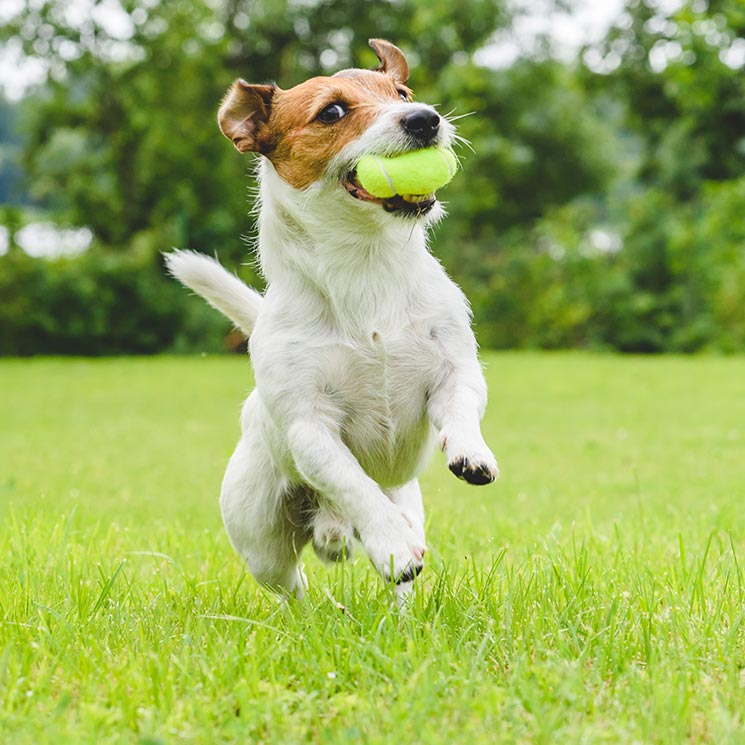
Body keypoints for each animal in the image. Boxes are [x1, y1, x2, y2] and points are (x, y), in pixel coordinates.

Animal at [166, 37, 496, 600]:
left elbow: (461, 407)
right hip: (261, 539)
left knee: (398, 567)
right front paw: (389, 541)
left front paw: (470, 451)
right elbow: (352, 481)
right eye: (333, 112)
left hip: (405, 498)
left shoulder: (455, 369)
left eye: (402, 93)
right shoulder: (309, 428)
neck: (366, 266)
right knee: (293, 586)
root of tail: (325, 522)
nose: (425, 119)